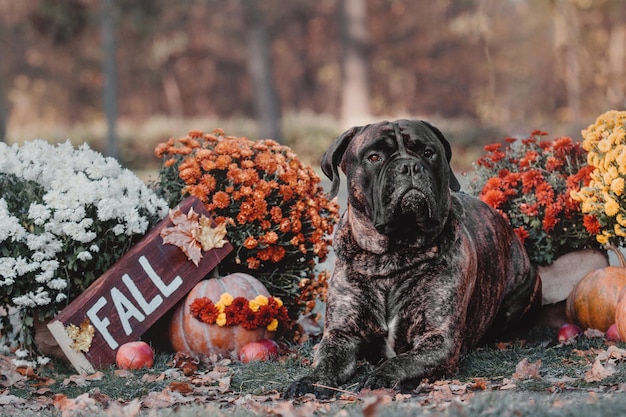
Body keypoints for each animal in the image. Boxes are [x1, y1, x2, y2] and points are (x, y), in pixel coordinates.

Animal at [286, 118, 540, 396]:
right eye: (374, 157)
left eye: (428, 152)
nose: (409, 166)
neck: (392, 255)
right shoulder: (341, 334)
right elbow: (327, 360)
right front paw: (311, 380)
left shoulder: (438, 338)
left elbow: (402, 360)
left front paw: (381, 376)